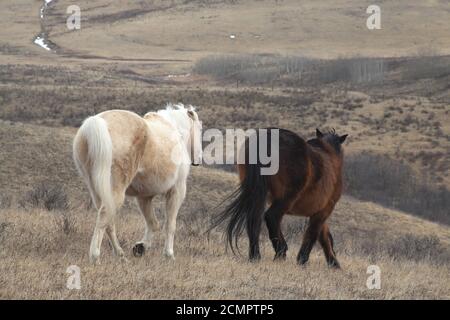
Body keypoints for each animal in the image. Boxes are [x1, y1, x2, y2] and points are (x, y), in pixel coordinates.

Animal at [72, 104, 202, 264]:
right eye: (199, 128)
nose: (198, 159)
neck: (174, 130)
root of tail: (95, 123)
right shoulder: (177, 190)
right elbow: (170, 225)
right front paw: (169, 254)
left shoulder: (144, 197)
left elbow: (153, 223)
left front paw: (141, 247)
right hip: (115, 191)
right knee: (104, 216)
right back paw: (95, 257)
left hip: (96, 190)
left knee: (108, 222)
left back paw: (120, 255)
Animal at [212, 127, 348, 268]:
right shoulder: (325, 210)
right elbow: (313, 234)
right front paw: (303, 260)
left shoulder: (318, 212)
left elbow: (324, 236)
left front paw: (333, 263)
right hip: (287, 198)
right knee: (271, 217)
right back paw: (280, 252)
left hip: (259, 195)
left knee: (255, 218)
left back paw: (255, 255)